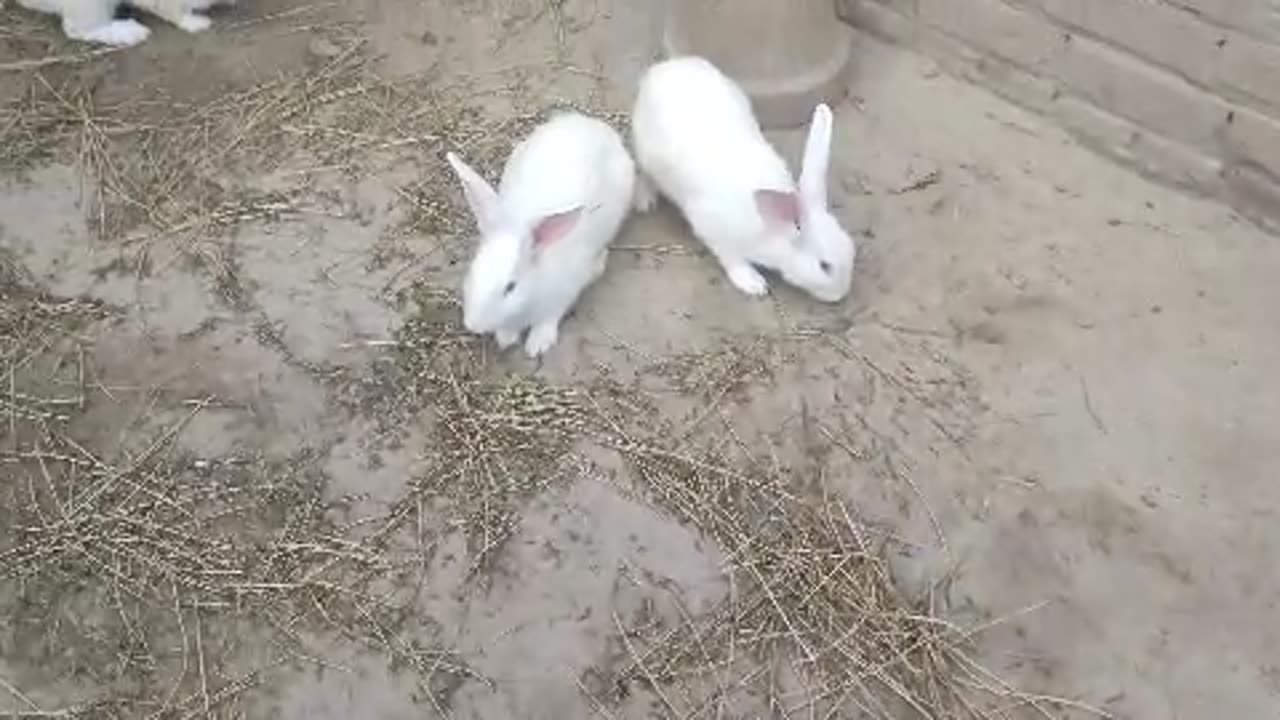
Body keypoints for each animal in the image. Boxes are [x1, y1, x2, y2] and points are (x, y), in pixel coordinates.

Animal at [445, 111, 634, 356]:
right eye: (473, 272)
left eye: (510, 287)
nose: (473, 326)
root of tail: (590, 124)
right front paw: (506, 337)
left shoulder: (564, 293)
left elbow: (549, 318)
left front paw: (538, 344)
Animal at [632, 56, 855, 301]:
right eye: (824, 266)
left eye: (851, 248)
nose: (841, 295)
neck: (773, 230)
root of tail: (663, 68)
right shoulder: (713, 229)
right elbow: (731, 257)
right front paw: (753, 283)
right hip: (645, 152)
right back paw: (645, 200)